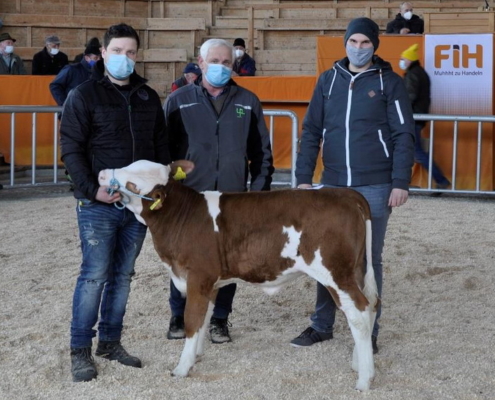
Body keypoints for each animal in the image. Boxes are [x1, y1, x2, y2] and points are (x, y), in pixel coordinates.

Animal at [100, 159, 380, 390]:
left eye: (133, 180)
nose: (102, 172)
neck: (182, 218)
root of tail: (344, 193)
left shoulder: (197, 276)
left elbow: (192, 320)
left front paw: (182, 367)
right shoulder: (211, 282)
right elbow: (204, 318)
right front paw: (196, 355)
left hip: (336, 272)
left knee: (358, 312)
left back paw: (365, 379)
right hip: (356, 269)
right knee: (370, 306)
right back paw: (358, 364)